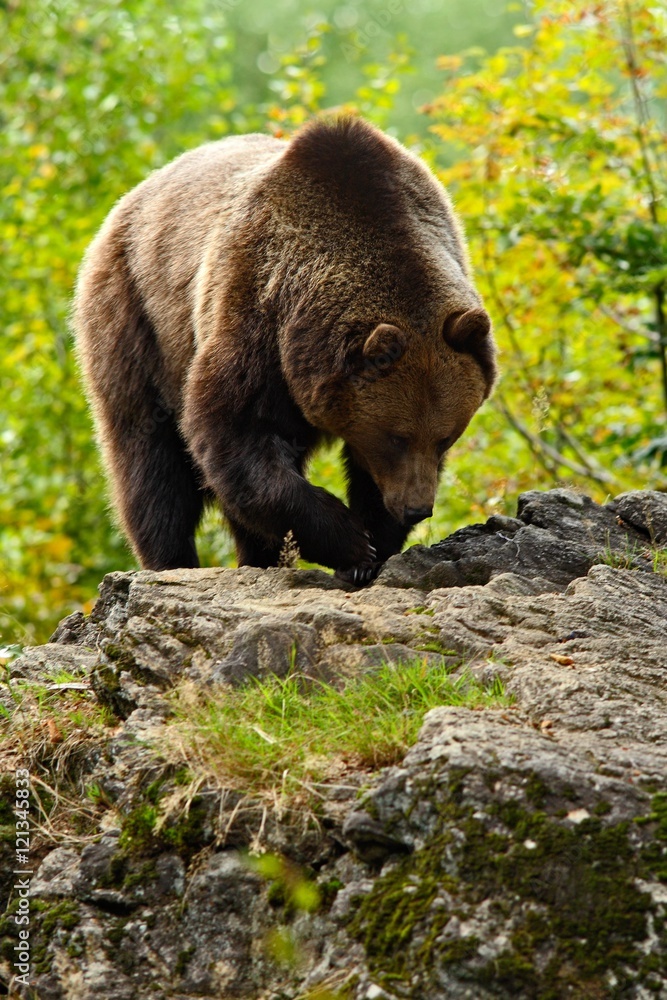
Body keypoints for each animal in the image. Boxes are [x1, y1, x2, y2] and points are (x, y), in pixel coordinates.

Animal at [74, 116, 497, 584]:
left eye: (446, 437)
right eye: (396, 437)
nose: (417, 507)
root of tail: (134, 196)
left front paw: (372, 548)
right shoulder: (258, 312)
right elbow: (232, 431)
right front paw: (349, 539)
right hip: (137, 318)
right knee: (151, 460)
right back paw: (171, 561)